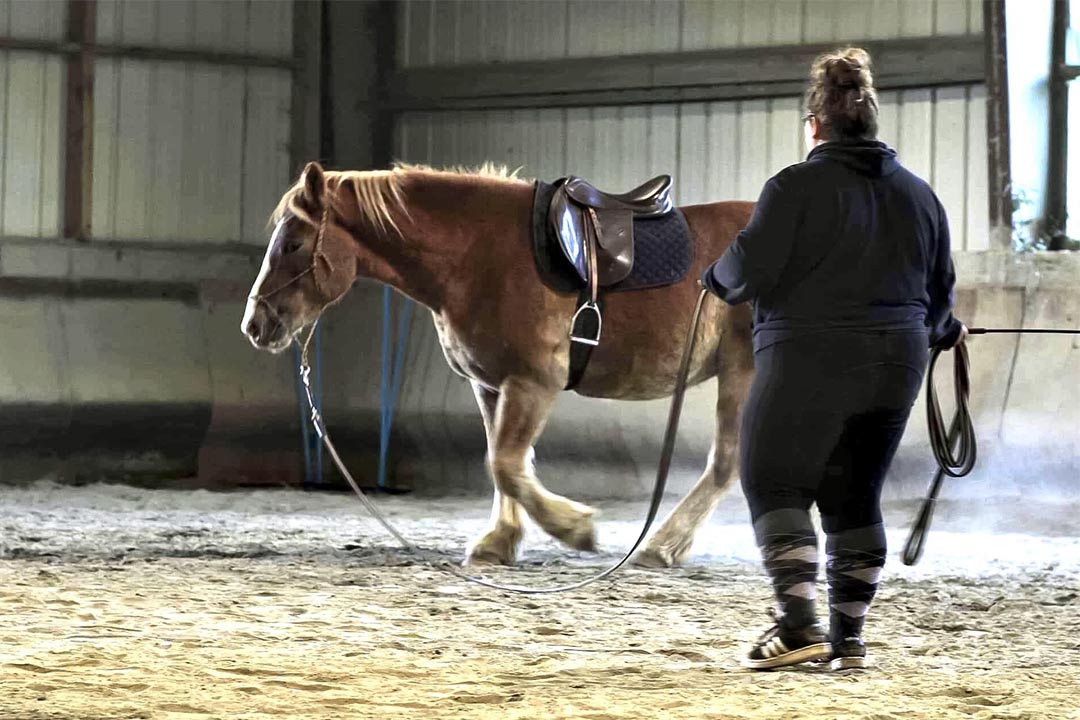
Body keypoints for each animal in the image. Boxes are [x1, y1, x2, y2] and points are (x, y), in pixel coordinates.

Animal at [241, 162, 756, 569]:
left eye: (292, 243)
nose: (254, 324)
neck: (480, 254)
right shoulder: (491, 386)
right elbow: (503, 461)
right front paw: (500, 541)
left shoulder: (532, 383)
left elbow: (506, 462)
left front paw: (574, 527)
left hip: (742, 373)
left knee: (726, 462)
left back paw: (661, 545)